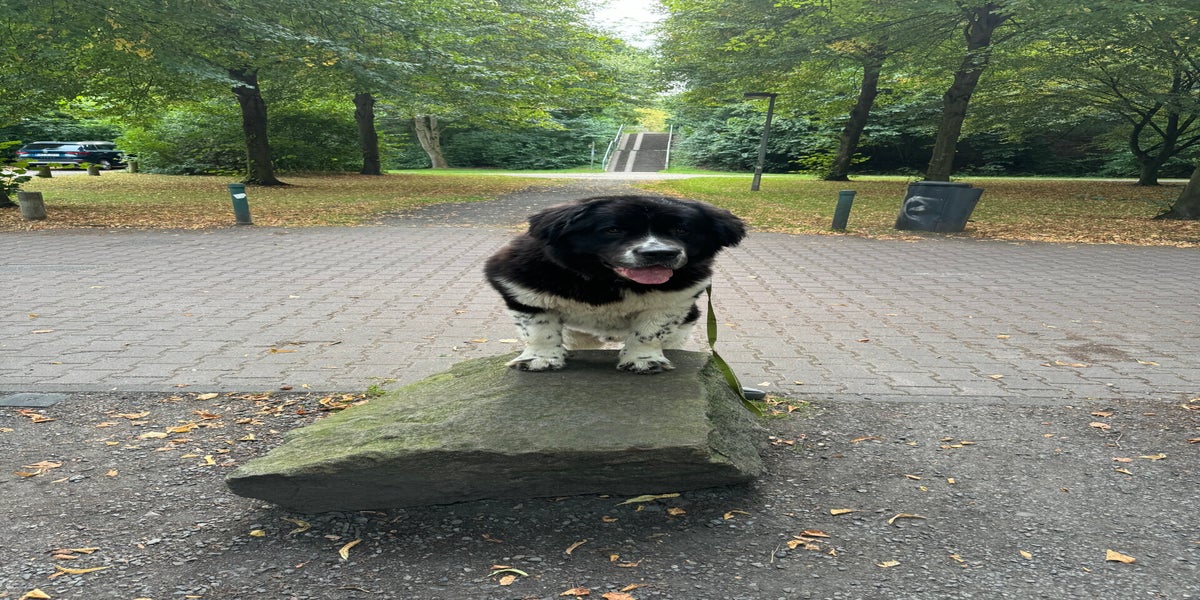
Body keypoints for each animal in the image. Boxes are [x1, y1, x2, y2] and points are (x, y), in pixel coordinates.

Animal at [484, 194, 746, 374]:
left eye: (682, 230)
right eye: (613, 230)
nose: (659, 252)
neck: (606, 281)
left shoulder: (673, 301)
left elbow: (649, 333)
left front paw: (643, 361)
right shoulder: (523, 290)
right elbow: (540, 330)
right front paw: (540, 359)